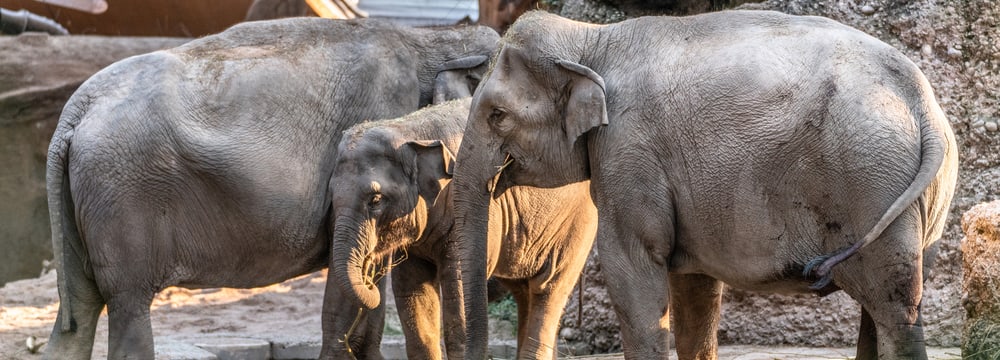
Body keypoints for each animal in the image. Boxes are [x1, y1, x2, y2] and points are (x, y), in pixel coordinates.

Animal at [328, 97, 596, 358]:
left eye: (375, 200)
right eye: (331, 196)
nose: (369, 280)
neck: (410, 129)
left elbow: (458, 289)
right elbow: (411, 290)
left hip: (577, 223)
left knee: (548, 287)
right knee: (524, 291)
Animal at [454, 9, 960, 360]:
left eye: (497, 115)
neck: (591, 38)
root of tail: (921, 98)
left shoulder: (628, 149)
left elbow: (631, 268)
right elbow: (693, 288)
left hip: (870, 181)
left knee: (894, 308)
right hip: (920, 202)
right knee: (891, 302)